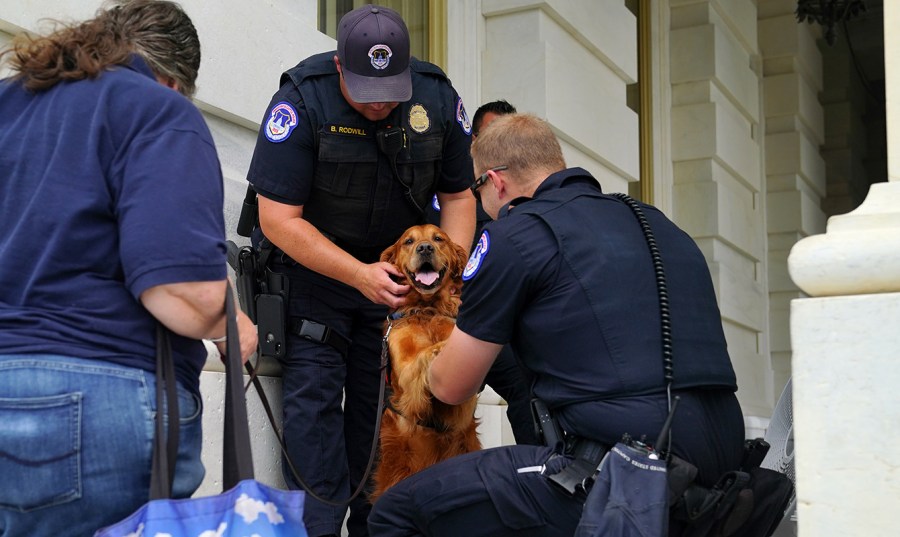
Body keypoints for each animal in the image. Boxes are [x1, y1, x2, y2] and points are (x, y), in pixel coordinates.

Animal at [370, 222, 486, 498]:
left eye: (438, 238)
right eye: (408, 241)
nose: (425, 248)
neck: (427, 308)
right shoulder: (406, 372)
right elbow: (423, 355)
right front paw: (440, 348)